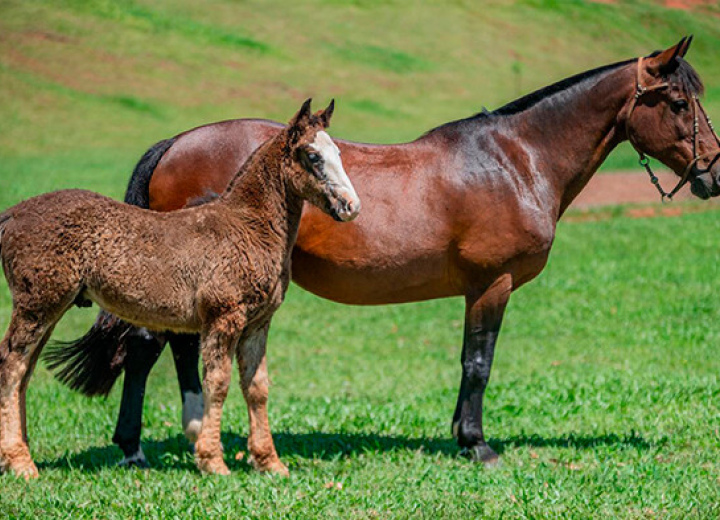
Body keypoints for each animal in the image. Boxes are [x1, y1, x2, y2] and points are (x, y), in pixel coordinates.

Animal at [0, 98, 360, 480]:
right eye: (313, 156)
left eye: (338, 152)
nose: (351, 206)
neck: (246, 227)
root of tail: (12, 215)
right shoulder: (223, 317)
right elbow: (218, 382)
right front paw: (212, 461)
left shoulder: (258, 323)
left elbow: (257, 386)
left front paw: (269, 463)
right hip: (38, 305)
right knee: (12, 364)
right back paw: (20, 462)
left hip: (49, 308)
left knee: (25, 369)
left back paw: (18, 454)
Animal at [46, 37, 720, 468]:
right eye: (678, 103)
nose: (713, 172)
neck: (516, 159)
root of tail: (176, 142)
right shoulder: (491, 284)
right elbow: (478, 363)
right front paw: (476, 444)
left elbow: (470, 363)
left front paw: (460, 435)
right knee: (146, 349)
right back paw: (136, 447)